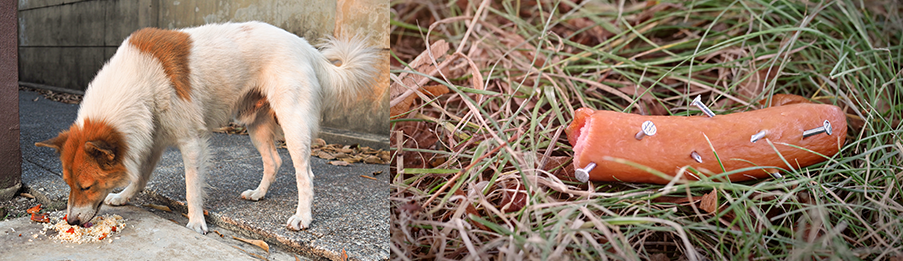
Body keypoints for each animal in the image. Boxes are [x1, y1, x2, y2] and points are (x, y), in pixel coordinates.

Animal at [36, 22, 378, 233]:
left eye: (86, 186)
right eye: (67, 184)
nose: (71, 221)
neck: (137, 81)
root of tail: (307, 48)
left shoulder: (191, 143)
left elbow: (192, 188)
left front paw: (197, 222)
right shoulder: (153, 139)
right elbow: (140, 177)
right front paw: (123, 196)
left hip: (294, 123)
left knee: (304, 173)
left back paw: (303, 217)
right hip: (256, 125)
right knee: (273, 161)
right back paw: (259, 193)